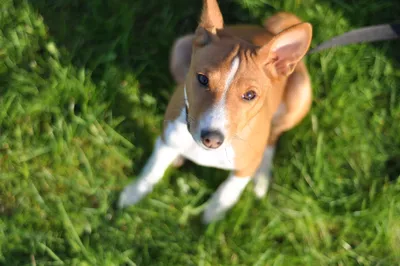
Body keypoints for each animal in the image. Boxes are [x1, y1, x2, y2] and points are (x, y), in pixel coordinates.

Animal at [118, 0, 312, 223]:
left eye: (250, 95)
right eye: (202, 79)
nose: (211, 138)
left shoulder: (244, 169)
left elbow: (229, 189)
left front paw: (214, 214)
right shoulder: (167, 137)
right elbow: (153, 168)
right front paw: (134, 192)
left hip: (300, 95)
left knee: (273, 135)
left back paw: (261, 177)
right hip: (180, 48)